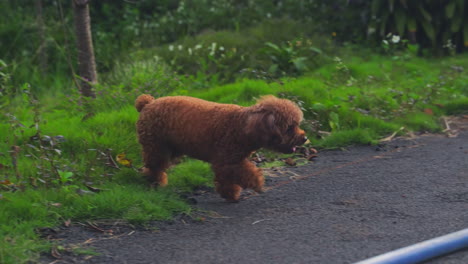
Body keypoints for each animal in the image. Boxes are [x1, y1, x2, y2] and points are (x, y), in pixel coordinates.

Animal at [134, 94, 308, 201]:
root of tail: (147, 103)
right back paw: (156, 181)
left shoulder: (229, 162)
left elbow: (227, 181)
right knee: (154, 166)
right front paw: (257, 184)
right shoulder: (226, 161)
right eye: (289, 128)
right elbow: (245, 174)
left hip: (170, 148)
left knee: (154, 166)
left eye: (296, 125)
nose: (305, 138)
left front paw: (230, 194)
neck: (242, 125)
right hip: (157, 146)